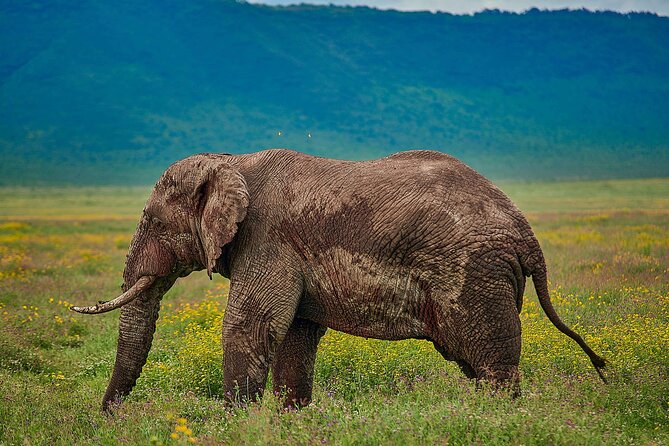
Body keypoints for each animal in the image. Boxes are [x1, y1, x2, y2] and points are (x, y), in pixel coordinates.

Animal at [71, 149, 606, 411]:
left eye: (153, 221)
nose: (108, 416)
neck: (230, 160)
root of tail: (528, 236)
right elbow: (296, 334)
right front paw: (291, 419)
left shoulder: (267, 237)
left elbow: (250, 325)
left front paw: (235, 423)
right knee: (475, 361)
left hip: (475, 275)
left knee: (490, 363)